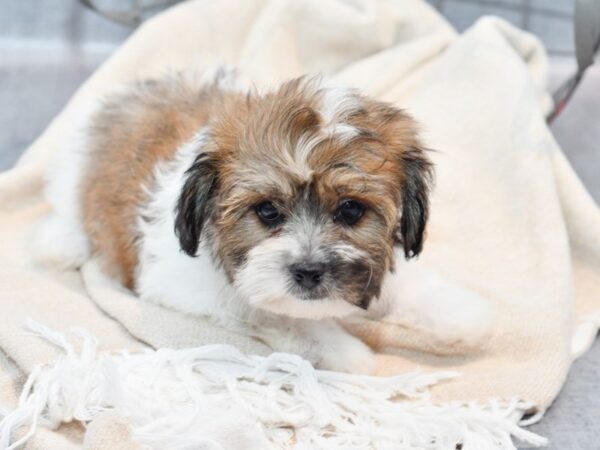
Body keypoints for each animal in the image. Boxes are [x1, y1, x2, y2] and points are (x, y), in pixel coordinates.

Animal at [41, 69, 436, 372]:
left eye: (351, 210)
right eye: (267, 211)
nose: (308, 272)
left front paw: (445, 309)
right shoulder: (182, 285)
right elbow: (269, 312)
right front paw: (342, 350)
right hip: (74, 175)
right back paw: (60, 242)